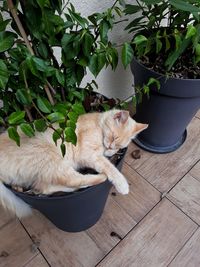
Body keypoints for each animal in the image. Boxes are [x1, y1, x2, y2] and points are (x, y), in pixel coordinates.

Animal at [0, 110, 147, 219]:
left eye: (119, 147)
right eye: (113, 137)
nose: (111, 149)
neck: (98, 123)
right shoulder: (88, 155)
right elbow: (109, 167)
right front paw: (122, 184)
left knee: (44, 188)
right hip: (52, 160)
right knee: (71, 180)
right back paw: (100, 178)